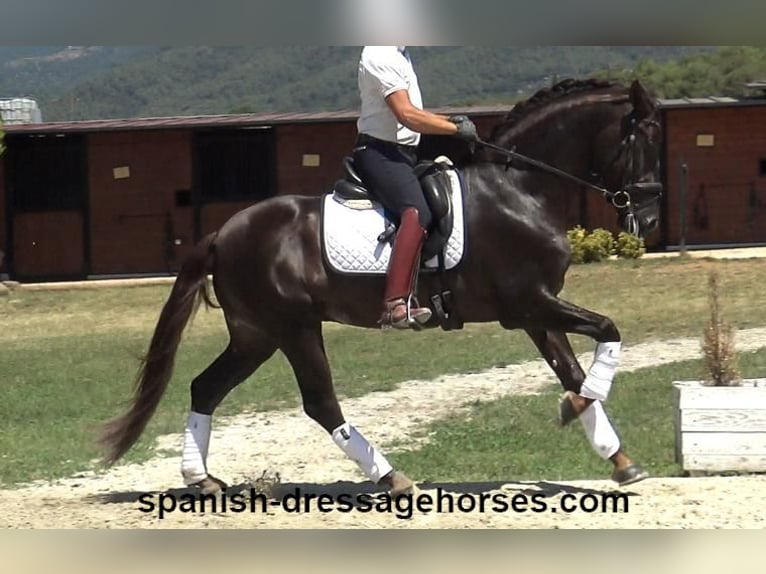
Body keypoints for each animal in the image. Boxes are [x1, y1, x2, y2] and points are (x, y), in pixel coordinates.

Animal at [100, 77, 664, 500]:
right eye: (645, 140)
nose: (651, 218)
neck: (519, 190)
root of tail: (225, 232)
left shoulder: (534, 311)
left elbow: (572, 370)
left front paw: (618, 457)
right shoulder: (529, 303)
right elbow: (608, 331)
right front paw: (578, 409)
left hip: (255, 334)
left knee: (206, 388)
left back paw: (202, 479)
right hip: (293, 328)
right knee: (320, 403)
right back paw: (392, 477)